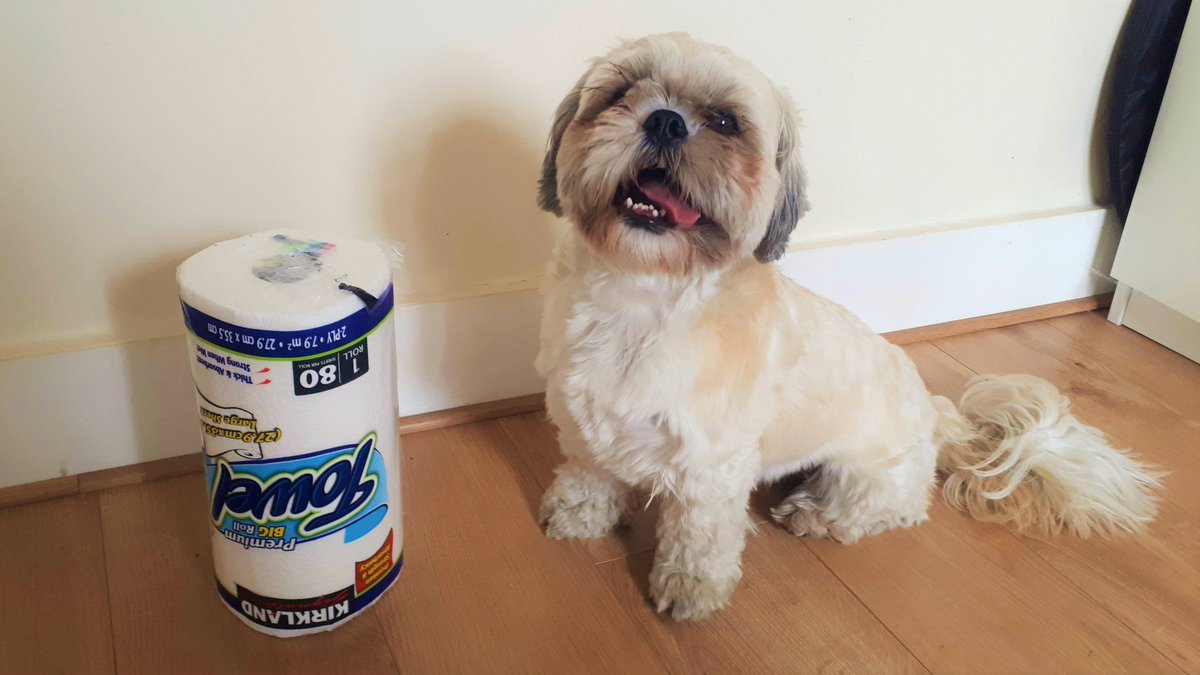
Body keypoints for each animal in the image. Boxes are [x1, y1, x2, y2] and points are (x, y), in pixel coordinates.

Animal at [532, 34, 1161, 619]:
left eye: (725, 123)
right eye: (619, 93)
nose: (665, 120)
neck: (643, 296)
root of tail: (935, 416)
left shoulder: (711, 468)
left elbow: (699, 537)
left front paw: (690, 590)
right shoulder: (583, 422)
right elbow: (588, 473)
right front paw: (578, 515)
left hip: (863, 476)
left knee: (894, 508)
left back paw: (814, 517)